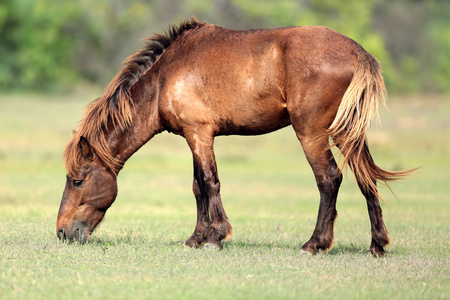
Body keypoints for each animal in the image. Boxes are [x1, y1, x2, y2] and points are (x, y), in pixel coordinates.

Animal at [56, 17, 412, 256]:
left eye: (77, 180)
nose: (61, 232)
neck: (165, 76)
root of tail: (356, 51)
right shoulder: (194, 136)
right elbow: (198, 187)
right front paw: (197, 238)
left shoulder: (199, 133)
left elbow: (209, 183)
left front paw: (215, 237)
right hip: (348, 133)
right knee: (366, 178)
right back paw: (377, 244)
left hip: (312, 133)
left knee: (329, 179)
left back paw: (315, 244)